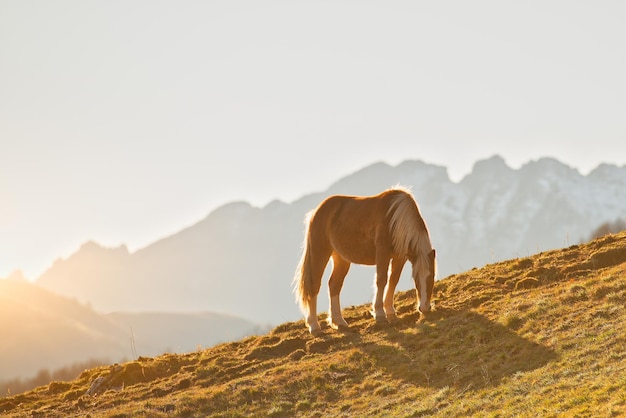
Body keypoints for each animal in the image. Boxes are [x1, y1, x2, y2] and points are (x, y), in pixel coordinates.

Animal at [292, 187, 434, 336]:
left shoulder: (400, 257)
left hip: (341, 259)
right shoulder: (382, 253)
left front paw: (391, 312)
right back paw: (314, 327)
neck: (394, 218)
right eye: (417, 279)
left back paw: (339, 322)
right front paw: (380, 315)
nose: (425, 307)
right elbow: (381, 280)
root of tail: (316, 211)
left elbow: (393, 281)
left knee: (334, 285)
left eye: (432, 277)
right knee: (314, 286)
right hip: (319, 253)